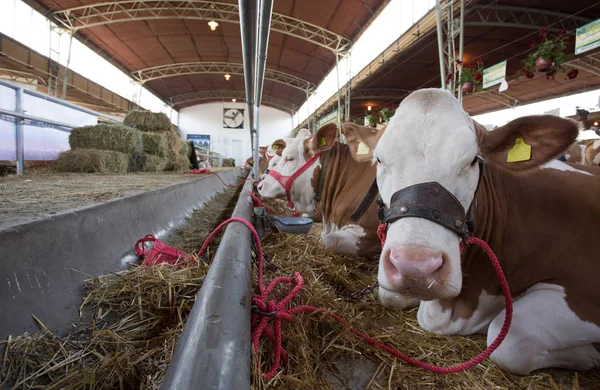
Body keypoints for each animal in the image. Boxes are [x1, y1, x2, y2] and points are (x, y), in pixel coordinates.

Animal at [340, 87, 600, 374]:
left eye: (473, 160)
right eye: (379, 159)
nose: (416, 268)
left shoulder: (585, 291)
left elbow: (511, 340)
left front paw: (589, 356)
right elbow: (389, 296)